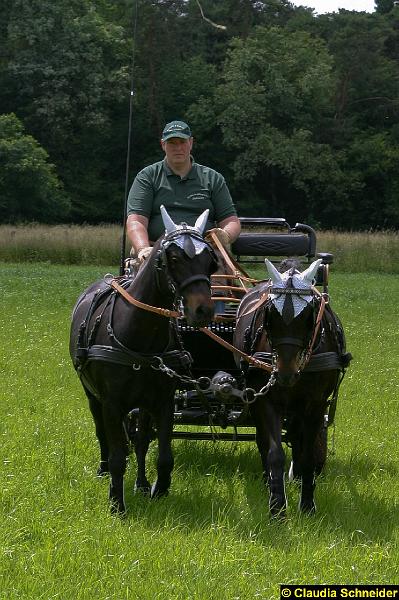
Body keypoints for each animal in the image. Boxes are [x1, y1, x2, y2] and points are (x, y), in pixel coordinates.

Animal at [70, 206, 217, 510]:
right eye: (174, 258)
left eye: (210, 260)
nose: (203, 310)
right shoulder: (112, 403)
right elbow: (117, 453)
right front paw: (117, 504)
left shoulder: (162, 402)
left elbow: (161, 453)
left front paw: (157, 490)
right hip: (92, 395)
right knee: (102, 432)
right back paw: (103, 469)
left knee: (139, 442)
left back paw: (140, 482)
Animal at [233, 258, 352, 516]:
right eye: (269, 312)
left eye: (308, 314)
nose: (285, 373)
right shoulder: (267, 400)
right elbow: (274, 452)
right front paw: (277, 506)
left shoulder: (316, 404)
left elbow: (307, 454)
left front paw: (307, 505)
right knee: (263, 440)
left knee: (297, 436)